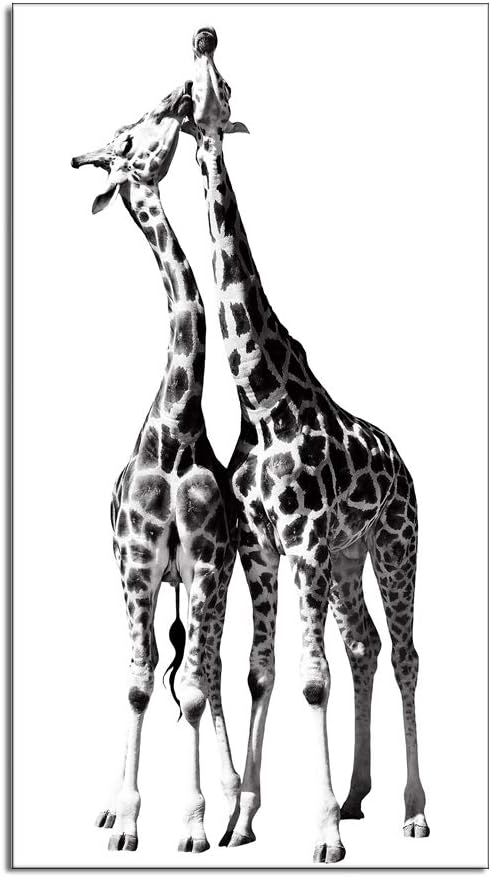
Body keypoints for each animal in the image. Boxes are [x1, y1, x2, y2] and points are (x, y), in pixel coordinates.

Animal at [187, 27, 429, 863]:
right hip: (351, 553)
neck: (261, 398)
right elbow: (263, 670)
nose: (203, 35)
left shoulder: (306, 539)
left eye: (223, 89)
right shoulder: (264, 544)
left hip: (393, 542)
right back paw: (358, 794)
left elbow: (308, 677)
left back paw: (412, 809)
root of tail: (405, 463)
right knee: (362, 643)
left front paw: (318, 830)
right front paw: (241, 818)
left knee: (402, 651)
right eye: (186, 93)